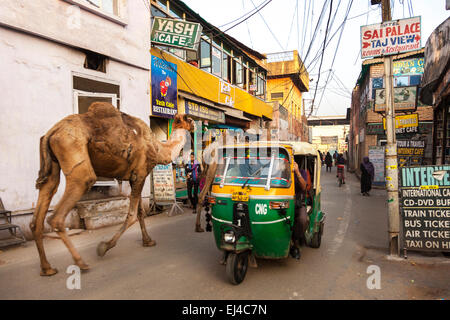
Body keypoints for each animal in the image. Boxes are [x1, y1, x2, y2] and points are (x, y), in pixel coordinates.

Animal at [30, 102, 193, 276]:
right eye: (189, 119)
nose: (195, 125)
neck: (159, 148)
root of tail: (52, 132)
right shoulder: (140, 174)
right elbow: (132, 215)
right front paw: (103, 247)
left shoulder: (134, 177)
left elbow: (140, 212)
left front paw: (148, 241)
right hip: (73, 152)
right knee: (60, 212)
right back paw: (81, 263)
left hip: (52, 165)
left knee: (41, 206)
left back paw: (47, 268)